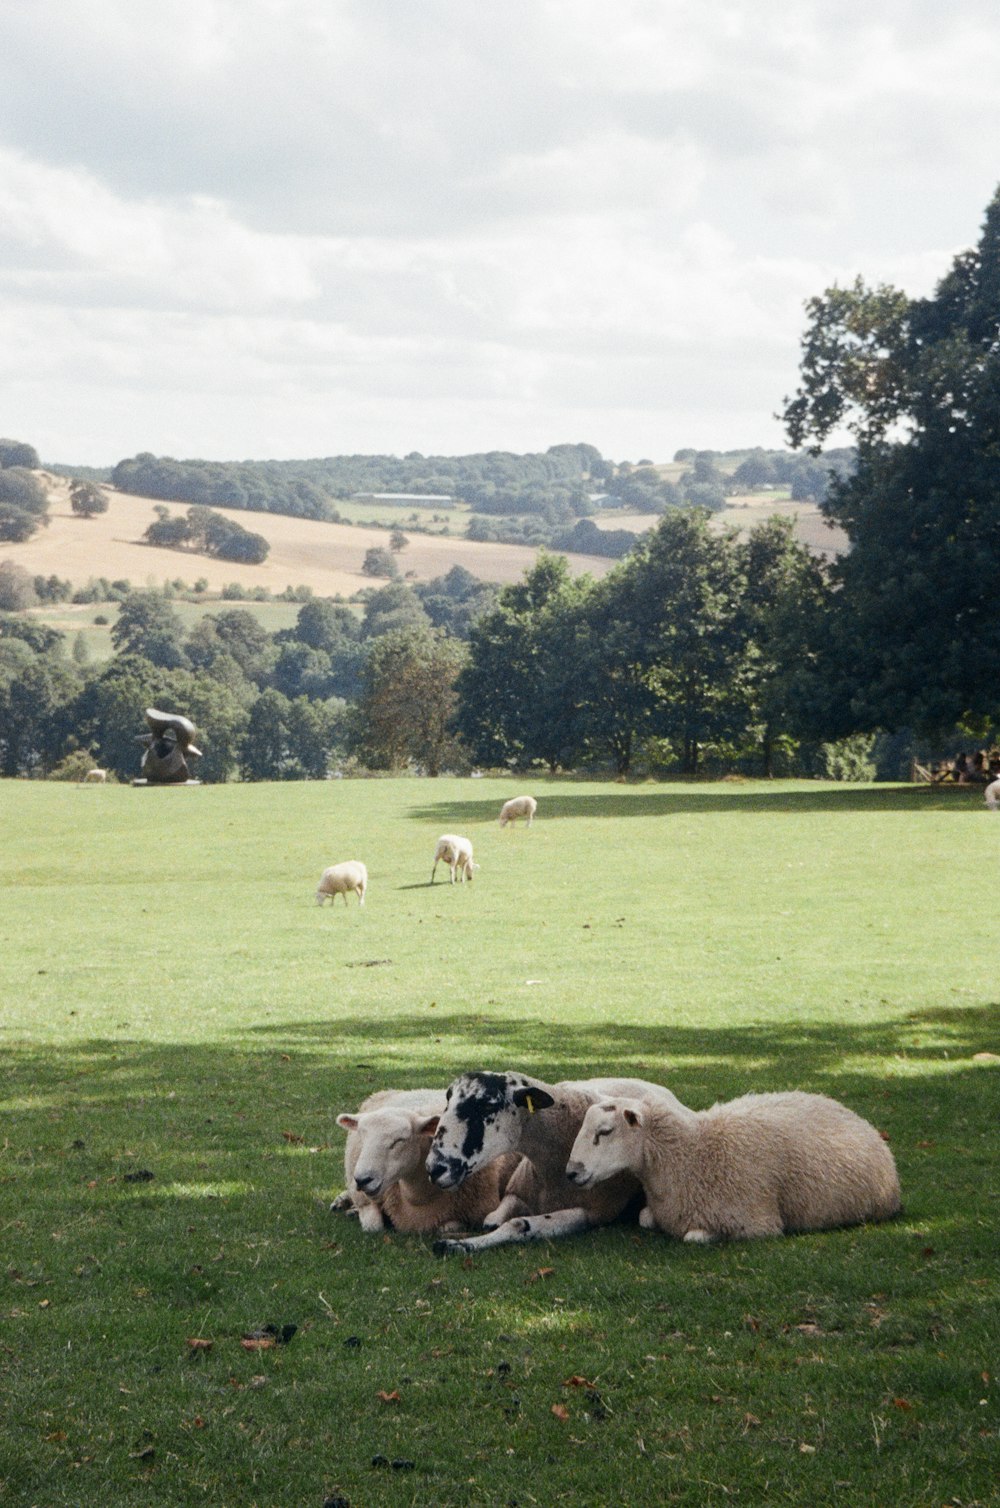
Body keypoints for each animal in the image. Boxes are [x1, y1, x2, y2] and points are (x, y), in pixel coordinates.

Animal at [336, 1085, 524, 1236]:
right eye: (362, 1136)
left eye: (400, 1140)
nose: (362, 1179)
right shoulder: (366, 1201)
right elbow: (374, 1227)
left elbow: (448, 1227)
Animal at [422, 1073, 687, 1260]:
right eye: (447, 1101)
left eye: (487, 1106)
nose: (434, 1169)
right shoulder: (516, 1191)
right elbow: (493, 1219)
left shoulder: (593, 1211)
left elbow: (518, 1224)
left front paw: (458, 1245)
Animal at [567, 1091, 904, 1242]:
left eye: (605, 1131)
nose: (571, 1172)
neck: (693, 1154)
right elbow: (644, 1219)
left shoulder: (757, 1224)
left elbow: (693, 1237)